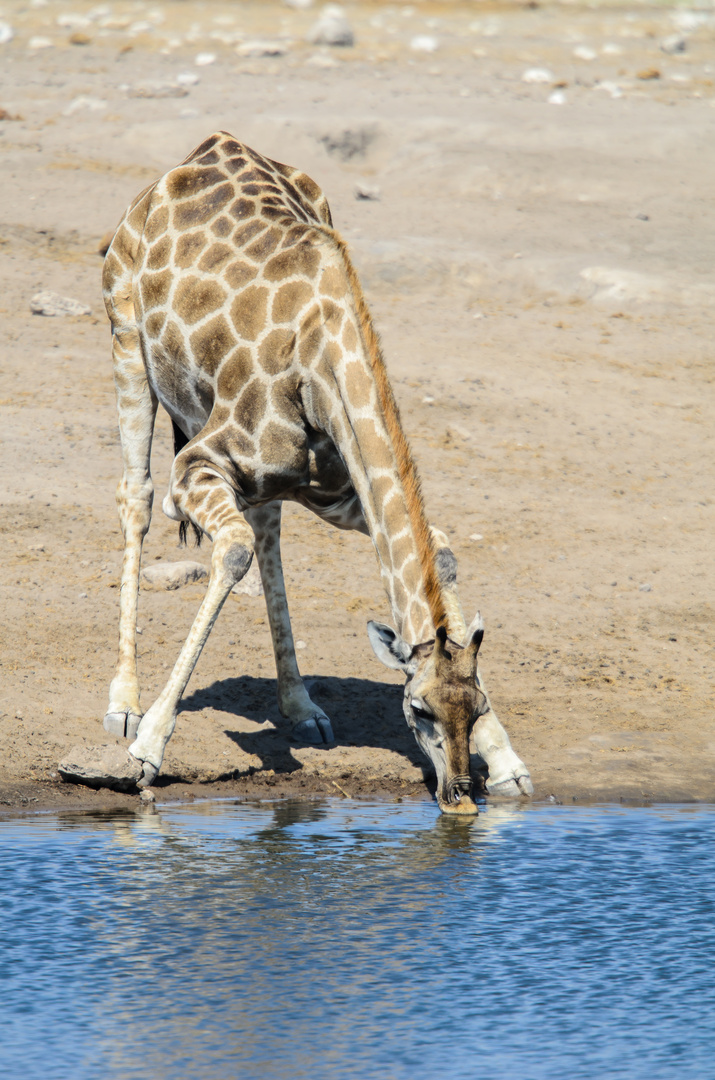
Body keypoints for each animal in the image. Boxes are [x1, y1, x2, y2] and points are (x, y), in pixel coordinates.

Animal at [103, 132, 535, 812]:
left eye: (479, 703)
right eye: (417, 711)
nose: (459, 797)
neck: (322, 363)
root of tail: (200, 150)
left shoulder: (339, 492)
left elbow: (437, 551)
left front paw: (510, 763)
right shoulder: (196, 467)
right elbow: (229, 552)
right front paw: (147, 747)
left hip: (268, 479)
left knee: (268, 532)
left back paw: (302, 707)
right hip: (125, 339)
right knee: (137, 495)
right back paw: (123, 702)